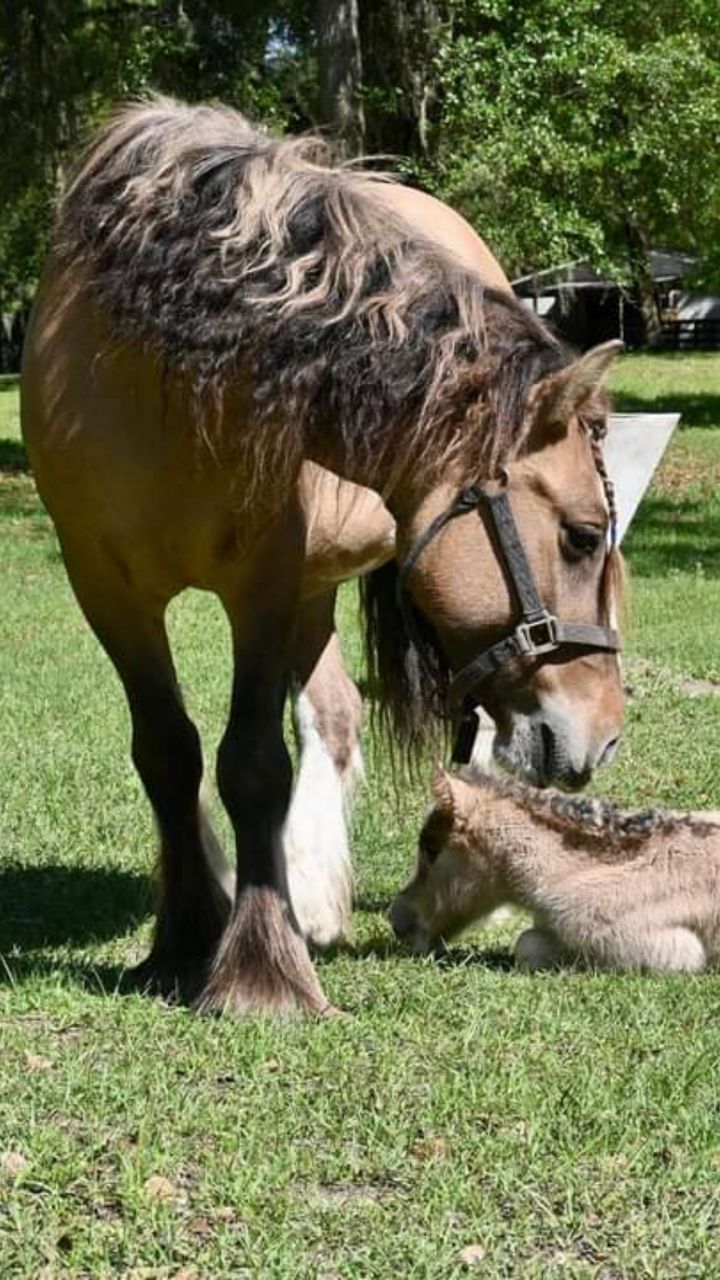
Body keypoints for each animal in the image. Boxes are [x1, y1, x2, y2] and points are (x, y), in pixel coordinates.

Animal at [21, 97, 624, 1016]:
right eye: (583, 536)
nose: (606, 733)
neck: (168, 372)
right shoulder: (108, 590)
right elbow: (167, 753)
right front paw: (187, 938)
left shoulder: (264, 585)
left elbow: (251, 765)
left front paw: (259, 973)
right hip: (318, 591)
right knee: (336, 715)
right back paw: (305, 899)